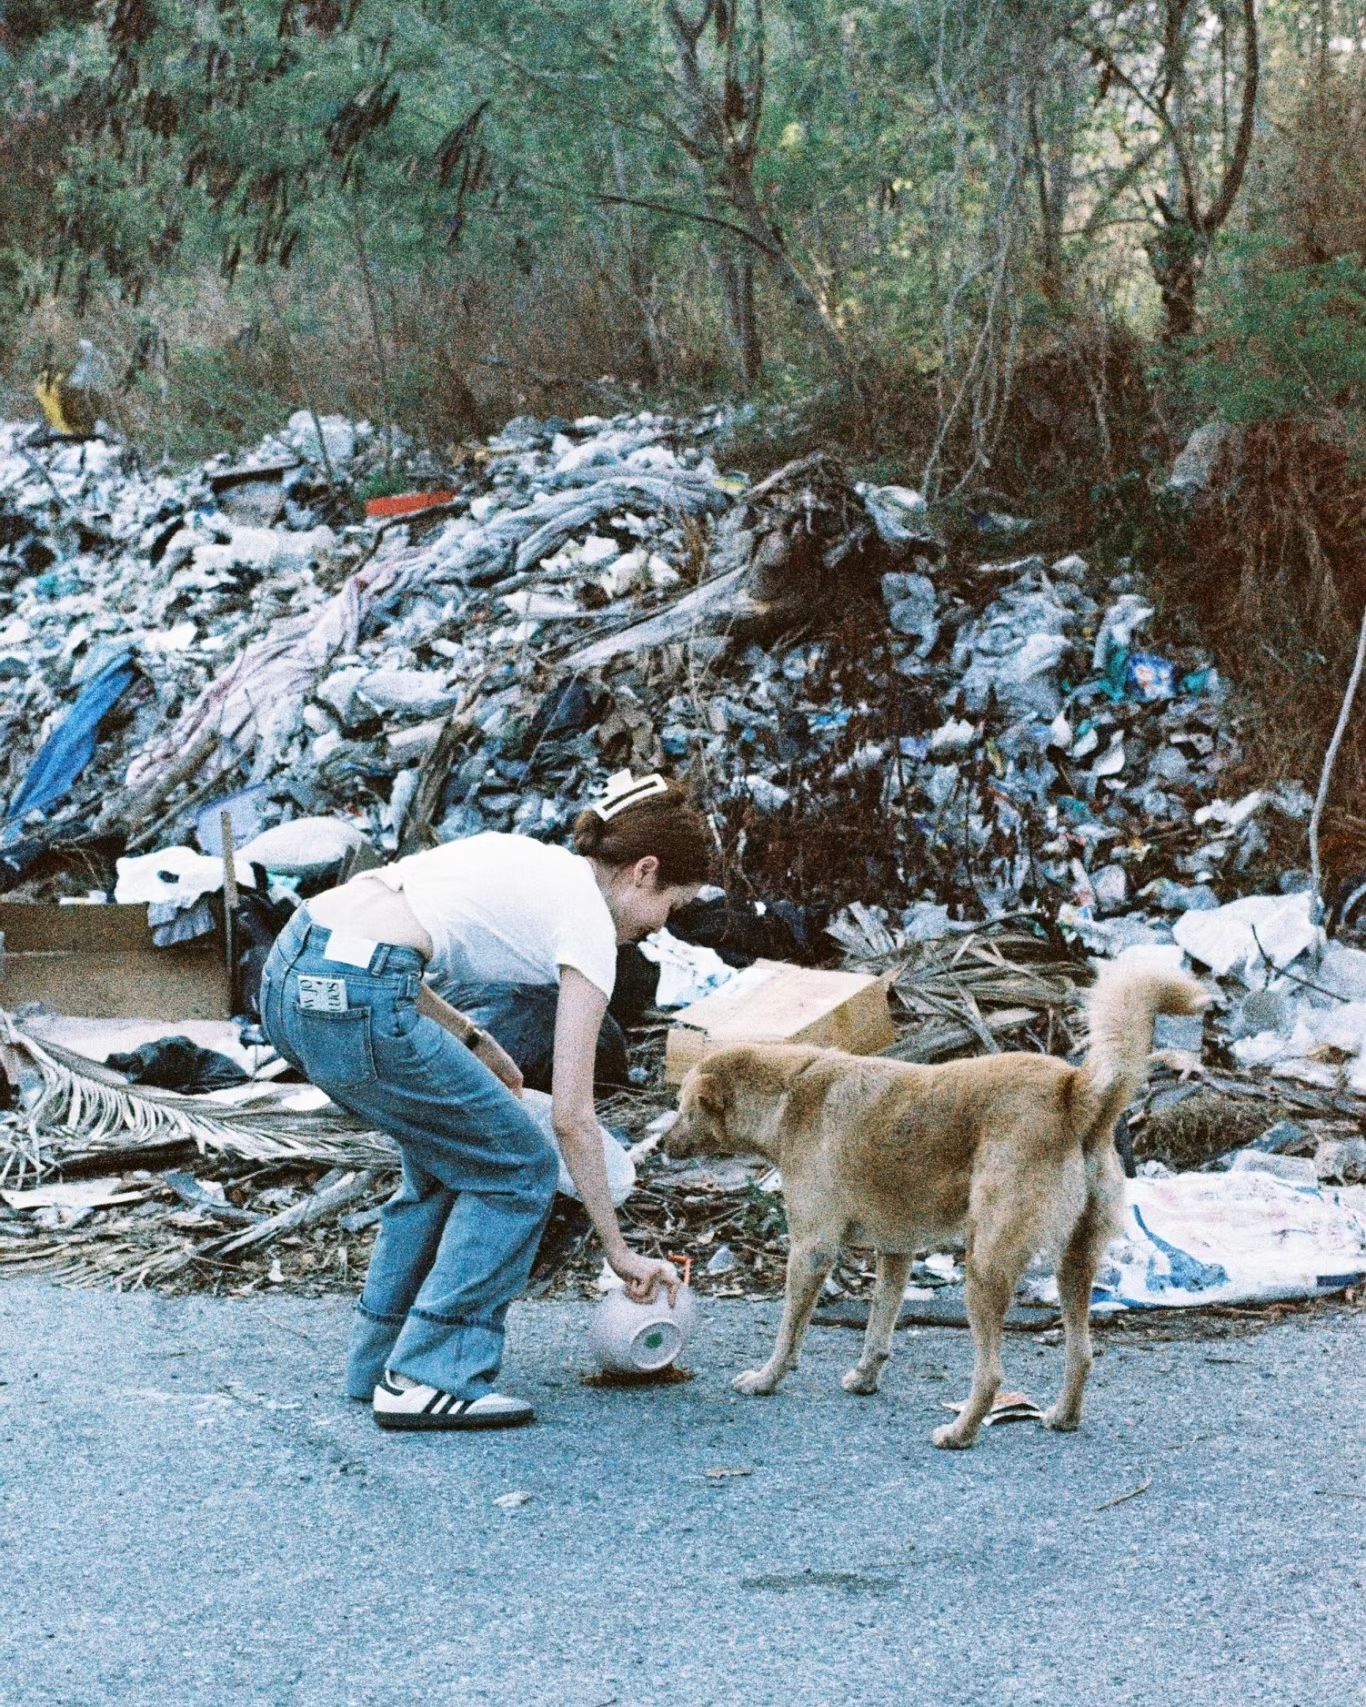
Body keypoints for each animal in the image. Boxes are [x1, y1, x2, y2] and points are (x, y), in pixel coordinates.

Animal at [662, 955, 1208, 1447]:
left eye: (683, 1108)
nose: (663, 1144)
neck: (791, 1090)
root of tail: (1072, 1090)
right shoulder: (896, 1251)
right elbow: (879, 1327)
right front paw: (865, 1377)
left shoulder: (812, 1249)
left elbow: (789, 1331)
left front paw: (766, 1378)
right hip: (1074, 1262)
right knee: (1082, 1352)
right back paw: (1062, 1417)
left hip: (984, 1265)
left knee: (991, 1374)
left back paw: (960, 1432)